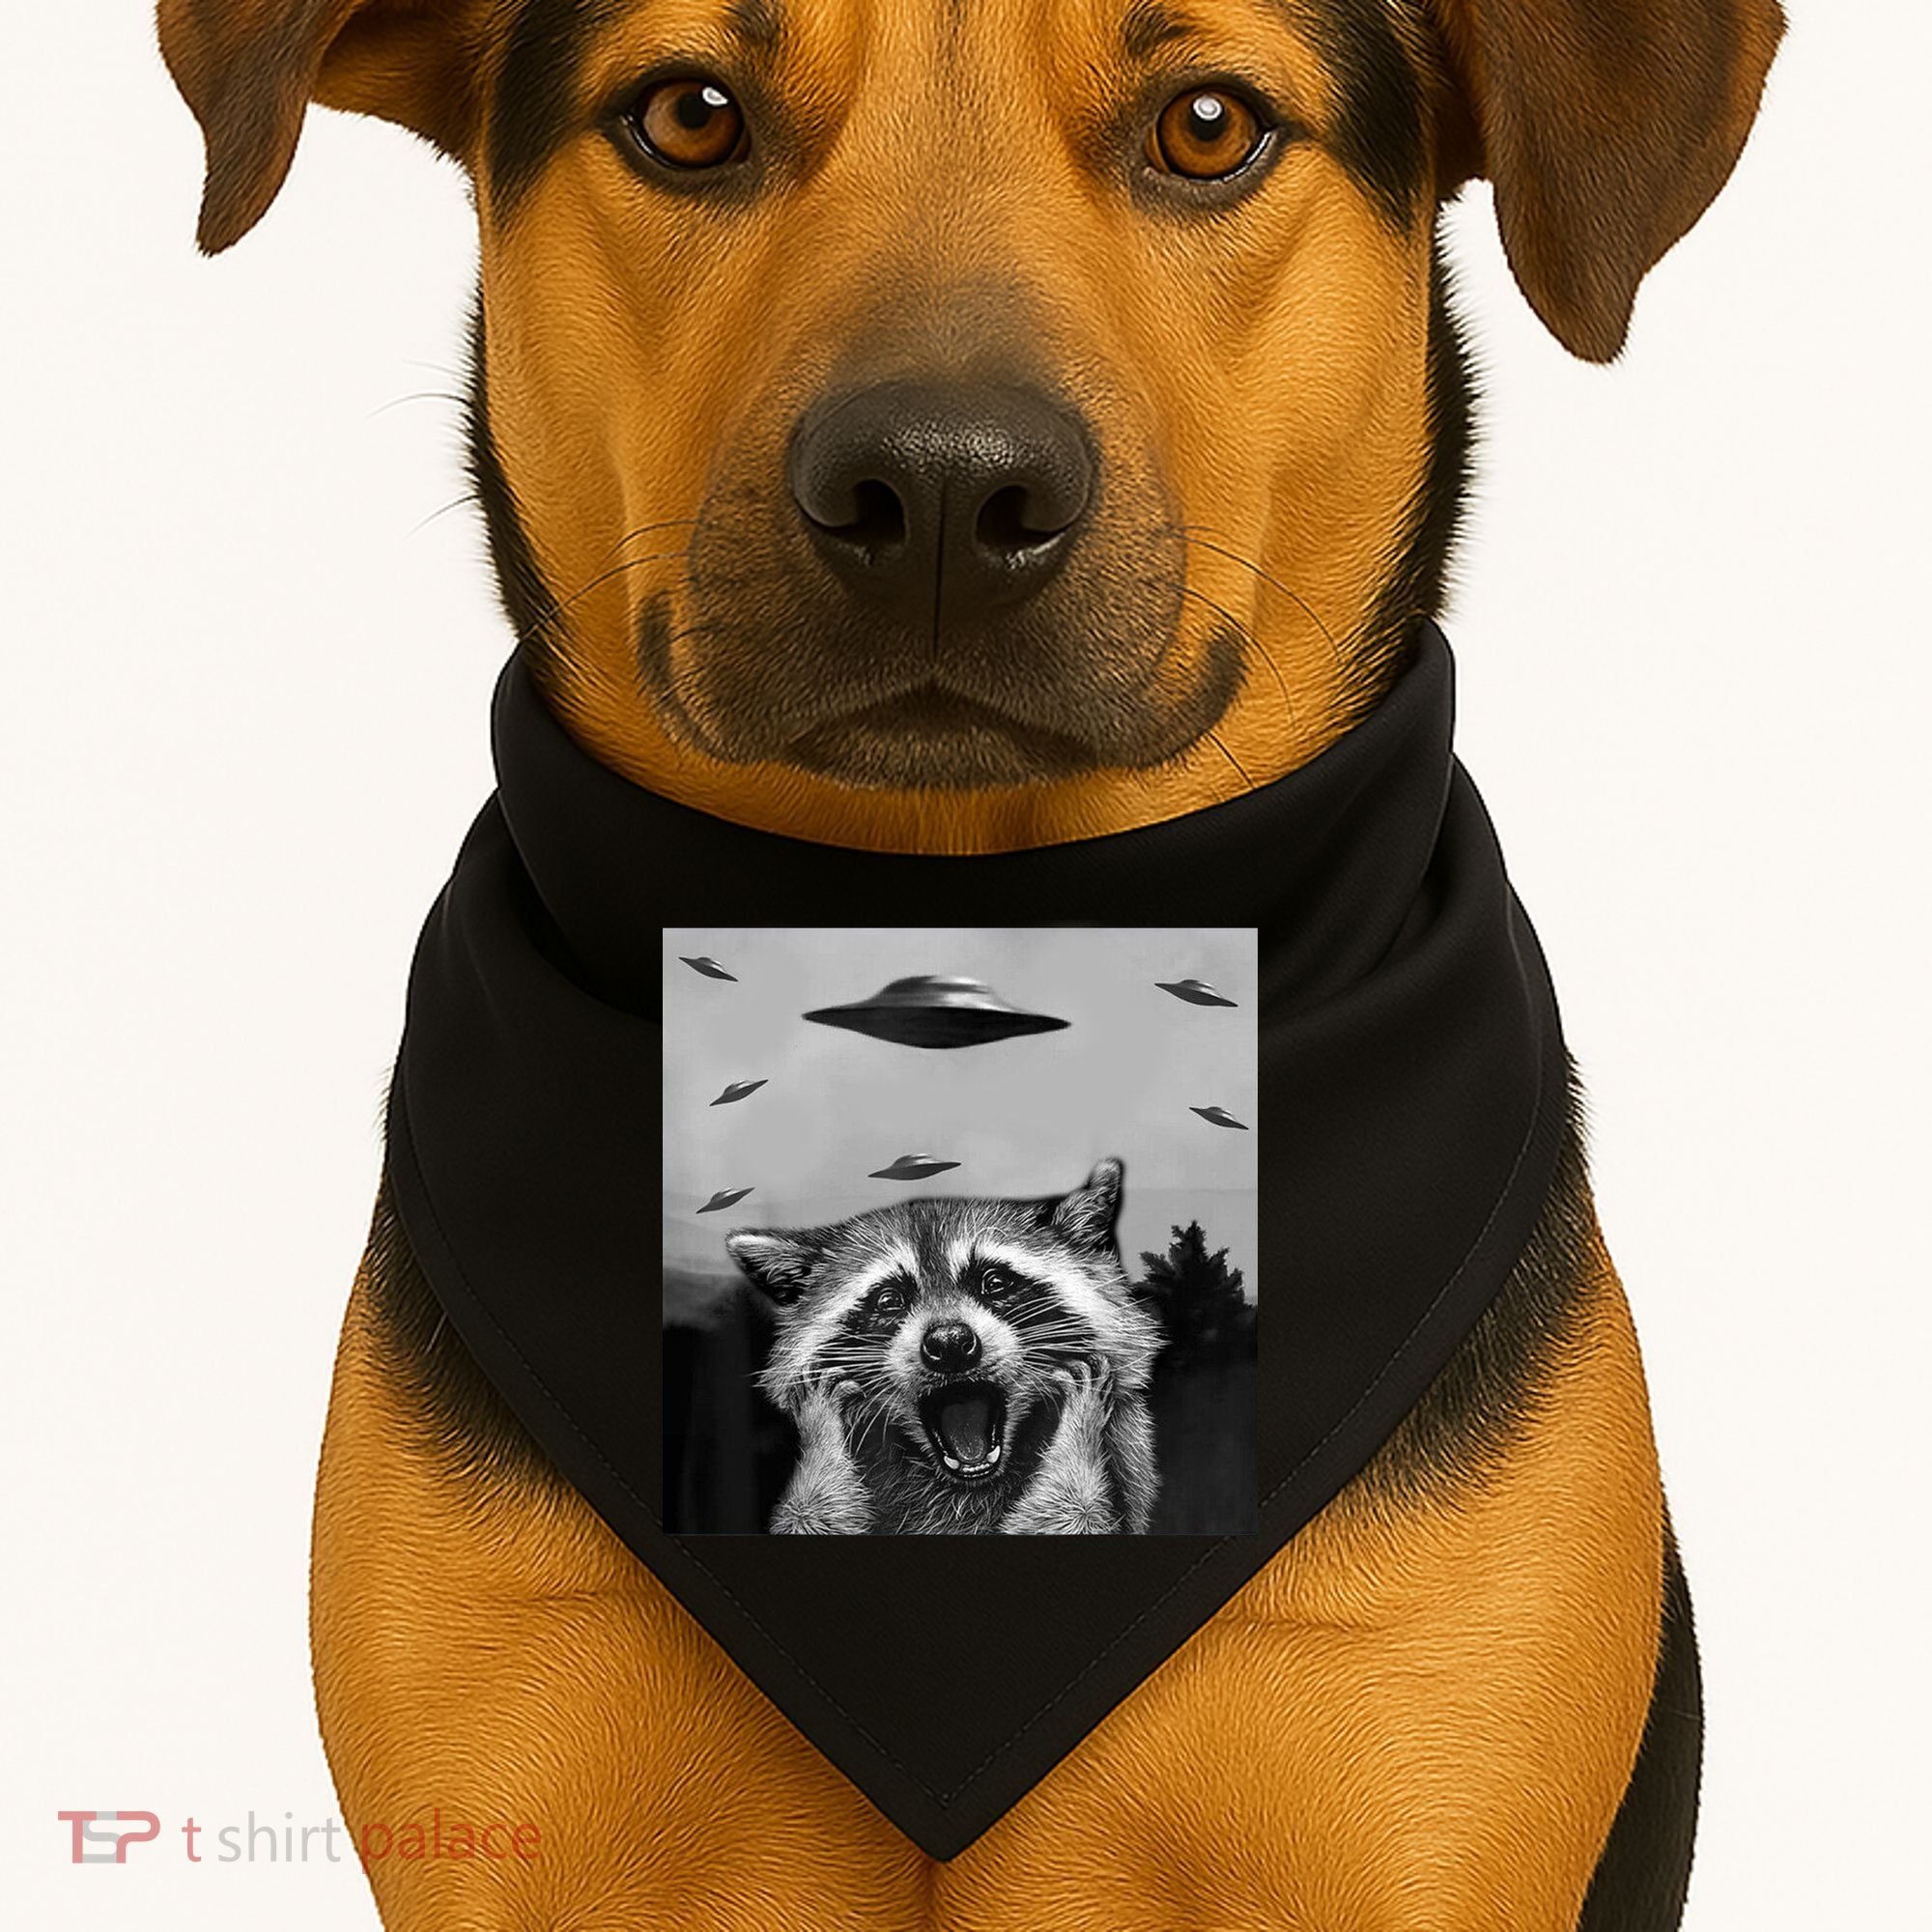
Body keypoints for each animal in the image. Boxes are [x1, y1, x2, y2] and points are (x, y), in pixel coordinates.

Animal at [726, 1157, 1162, 1534]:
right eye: (889, 1300)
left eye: (994, 1282)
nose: (950, 1342)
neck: (967, 1484)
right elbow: (808, 1518)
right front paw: (821, 1432)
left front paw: (1079, 1425)